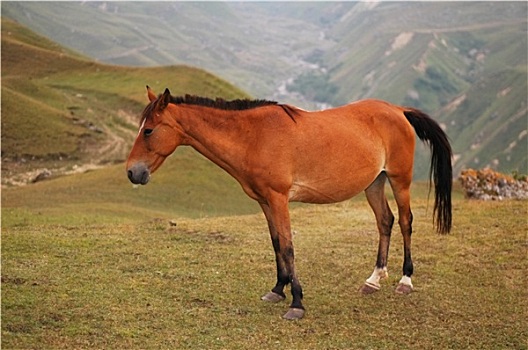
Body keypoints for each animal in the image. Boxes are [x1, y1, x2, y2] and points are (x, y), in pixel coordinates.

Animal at [126, 85, 452, 320]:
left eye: (148, 130)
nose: (132, 172)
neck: (253, 136)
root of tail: (398, 110)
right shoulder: (265, 201)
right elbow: (275, 243)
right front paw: (278, 289)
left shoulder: (279, 198)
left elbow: (288, 245)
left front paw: (296, 302)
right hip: (375, 183)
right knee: (385, 221)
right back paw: (373, 279)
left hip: (399, 180)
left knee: (406, 222)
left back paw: (405, 281)